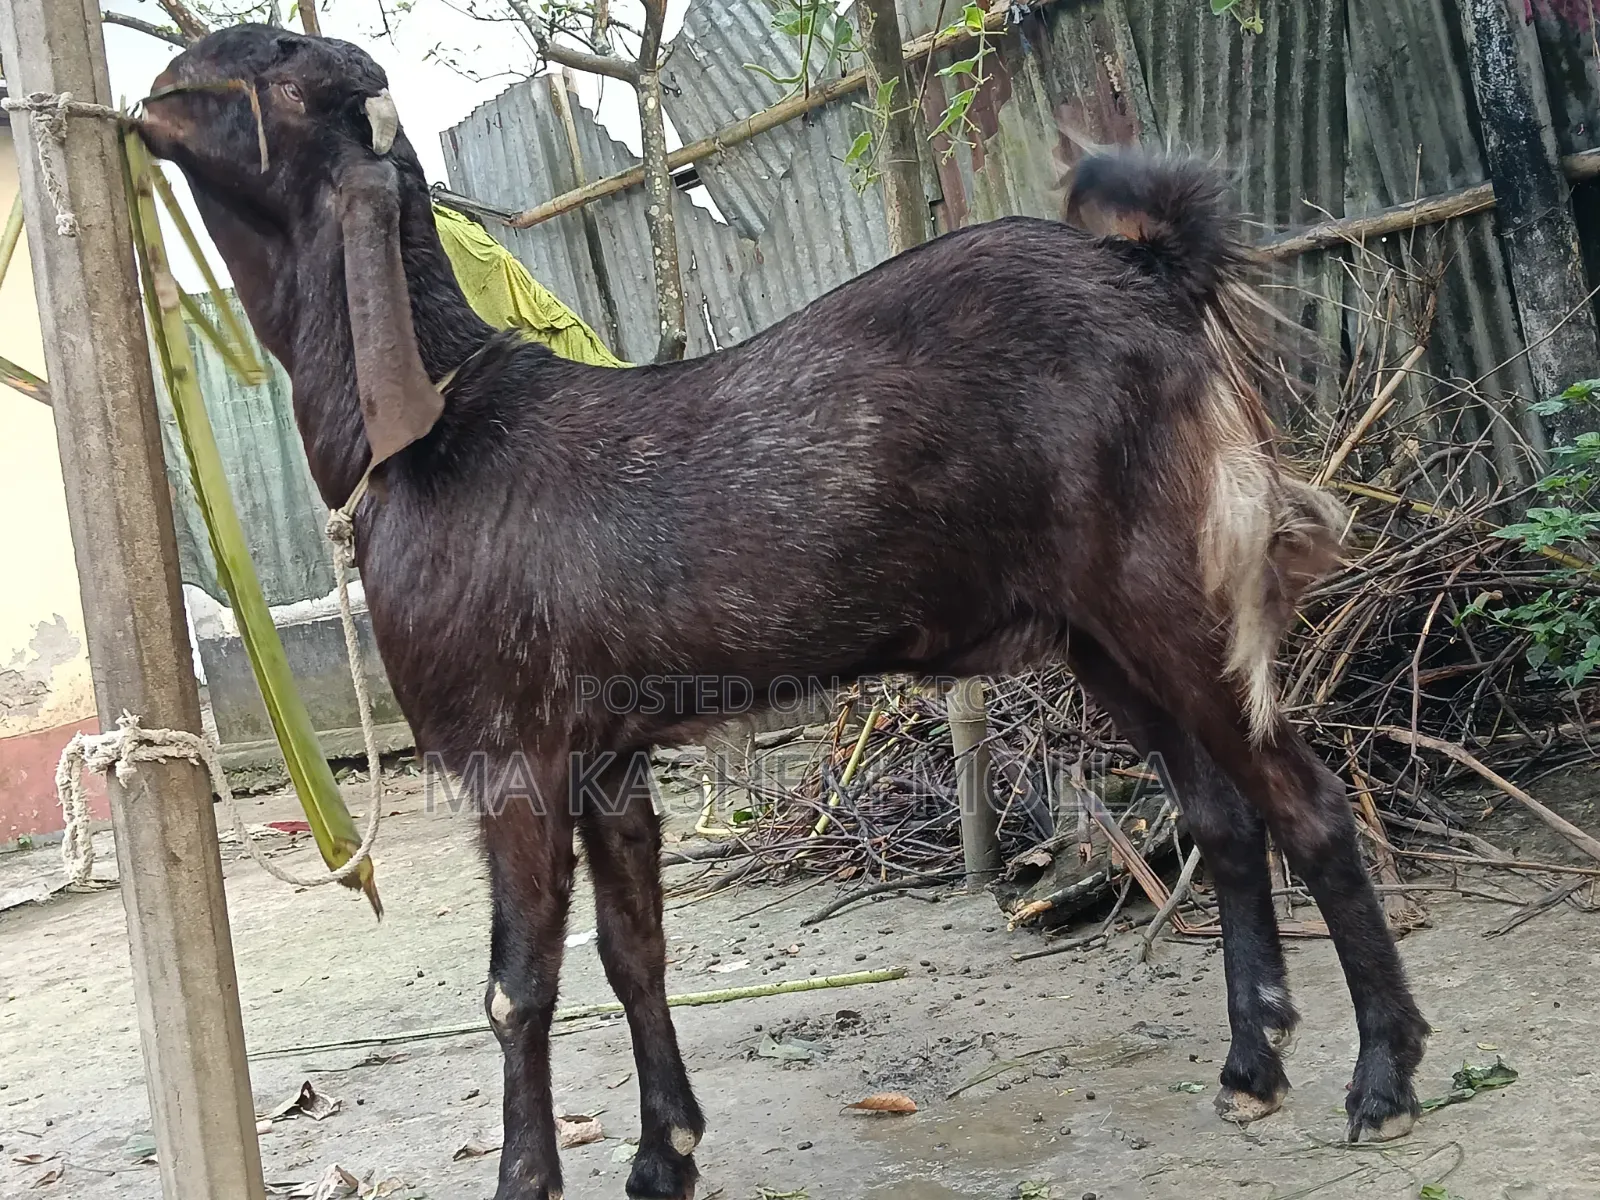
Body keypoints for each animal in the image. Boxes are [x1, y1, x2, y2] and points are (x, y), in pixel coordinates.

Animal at [140, 26, 1430, 1200]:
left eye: (287, 75)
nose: (152, 96)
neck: (443, 430)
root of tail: (1149, 272)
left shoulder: (514, 753)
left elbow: (520, 986)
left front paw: (529, 1181)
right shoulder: (607, 756)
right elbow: (634, 954)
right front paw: (663, 1159)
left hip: (1164, 593)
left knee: (1306, 806)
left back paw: (1382, 1081)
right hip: (1100, 637)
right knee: (1221, 816)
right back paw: (1251, 1068)